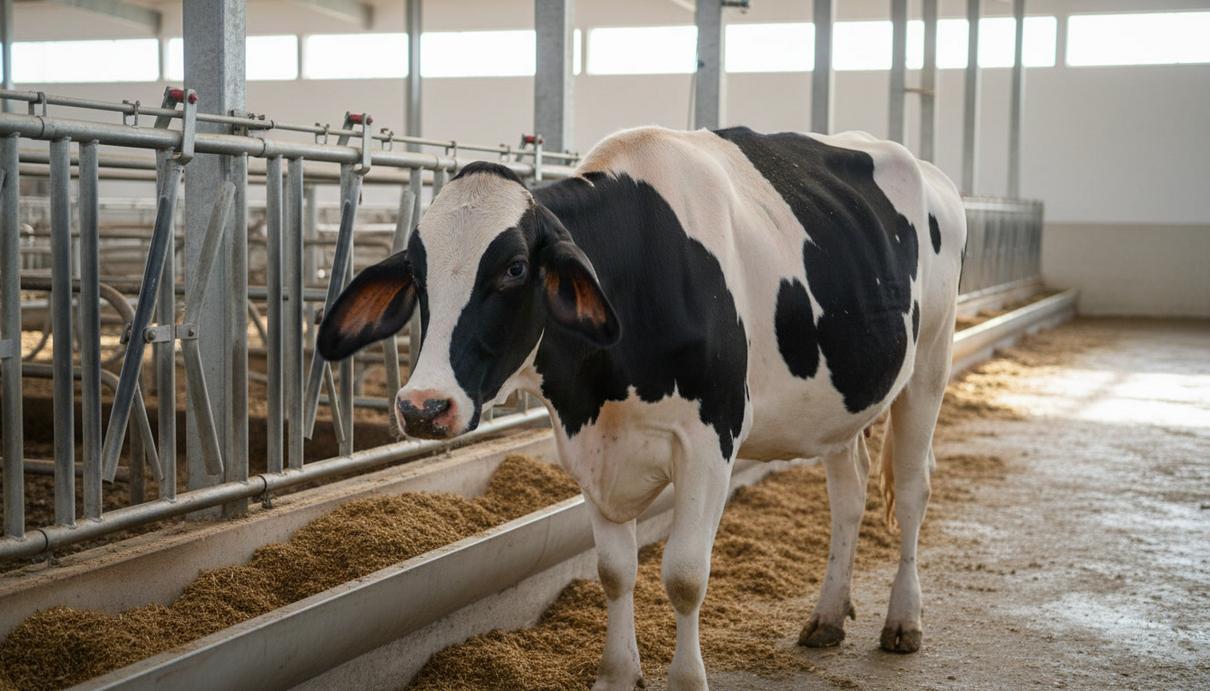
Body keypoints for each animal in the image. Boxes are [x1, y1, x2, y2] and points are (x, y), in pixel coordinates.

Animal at [317, 126, 966, 690]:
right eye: (416, 273)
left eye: (515, 268)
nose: (424, 406)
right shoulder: (588, 443)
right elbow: (613, 570)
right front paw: (616, 674)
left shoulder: (711, 440)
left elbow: (684, 575)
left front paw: (686, 680)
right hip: (843, 403)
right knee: (849, 494)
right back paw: (828, 616)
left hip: (929, 364)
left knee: (913, 491)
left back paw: (903, 621)